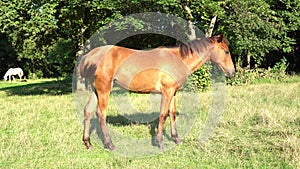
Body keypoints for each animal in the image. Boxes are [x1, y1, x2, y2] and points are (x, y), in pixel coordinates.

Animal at [75, 34, 234, 151]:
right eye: (226, 51)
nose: (232, 72)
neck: (178, 59)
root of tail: (89, 56)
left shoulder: (173, 92)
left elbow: (172, 114)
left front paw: (176, 139)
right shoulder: (167, 92)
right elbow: (163, 115)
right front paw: (160, 142)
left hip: (96, 90)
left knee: (88, 111)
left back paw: (88, 143)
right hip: (104, 90)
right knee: (101, 114)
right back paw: (109, 144)